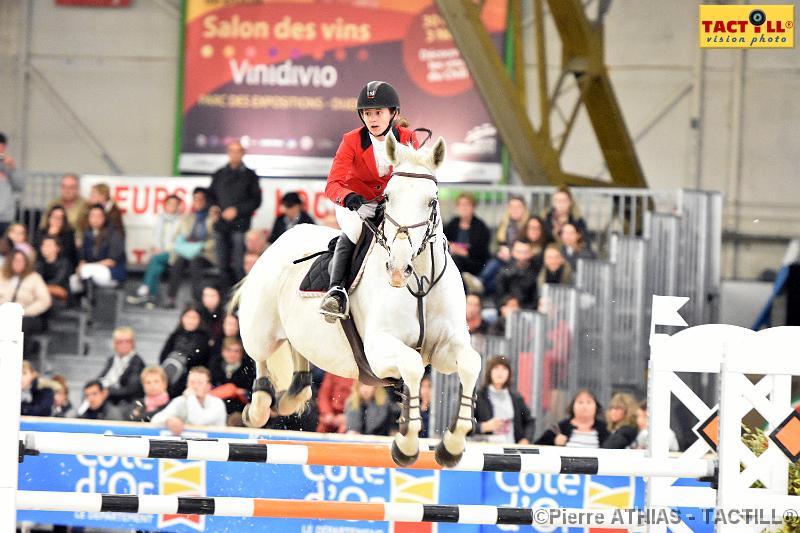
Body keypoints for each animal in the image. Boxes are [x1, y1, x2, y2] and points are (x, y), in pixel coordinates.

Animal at [231, 133, 482, 466]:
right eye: (388, 197)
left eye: (432, 201)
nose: (398, 269)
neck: (419, 282)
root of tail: (278, 242)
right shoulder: (378, 349)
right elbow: (413, 364)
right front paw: (406, 445)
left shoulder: (444, 347)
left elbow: (470, 363)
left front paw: (451, 446)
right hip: (260, 329)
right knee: (260, 356)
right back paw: (259, 407)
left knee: (298, 352)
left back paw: (294, 394)